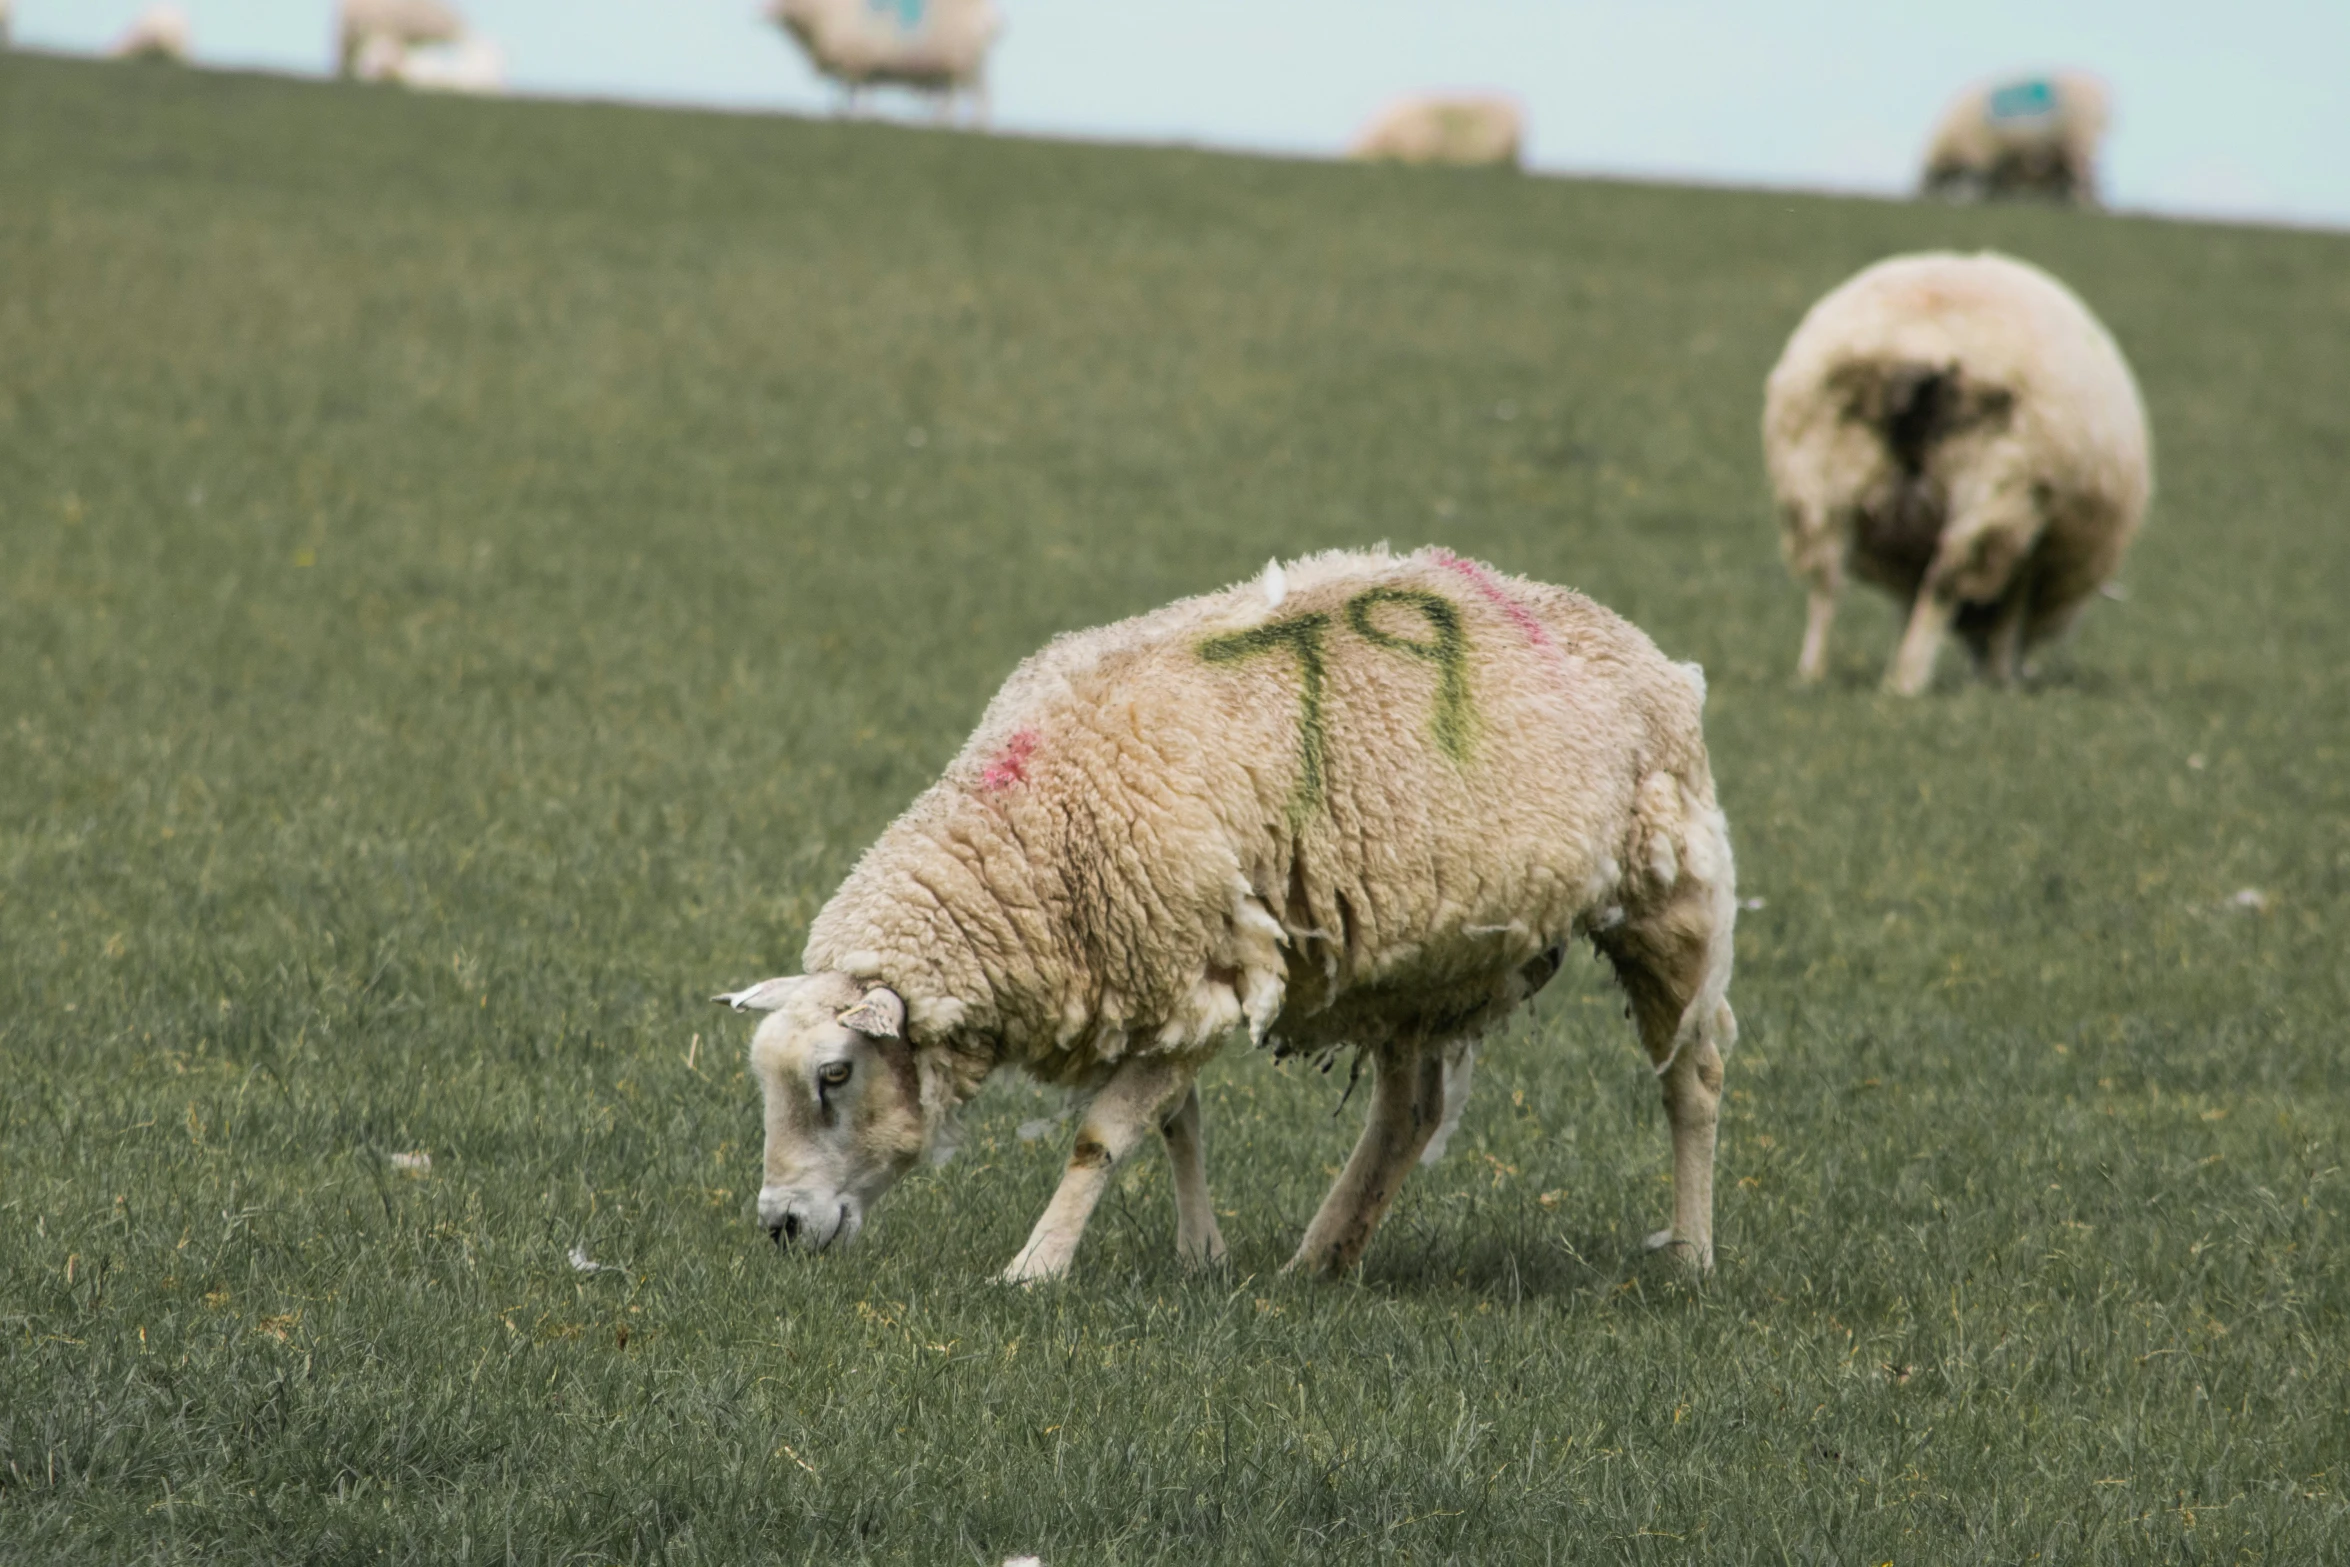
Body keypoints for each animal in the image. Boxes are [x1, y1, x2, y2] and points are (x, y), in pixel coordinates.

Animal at [705, 545, 1738, 1278]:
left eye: (835, 1074)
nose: (780, 1226)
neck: (1033, 829)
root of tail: (1628, 635)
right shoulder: (1153, 981)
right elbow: (1177, 1125)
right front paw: (1203, 1256)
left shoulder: (1200, 971)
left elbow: (1102, 1136)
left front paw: (1035, 1268)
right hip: (1415, 968)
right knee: (1410, 1112)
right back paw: (1320, 1257)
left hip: (1667, 895)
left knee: (1692, 1078)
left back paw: (1689, 1256)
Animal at [761, 0, 1001, 127]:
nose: (763, 13)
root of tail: (990, 16)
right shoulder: (854, 65)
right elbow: (849, 91)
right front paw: (843, 114)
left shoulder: (857, 61)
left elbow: (858, 92)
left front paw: (858, 116)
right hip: (959, 66)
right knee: (956, 96)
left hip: (965, 63)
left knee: (976, 95)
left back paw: (971, 125)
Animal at [1767, 254, 2152, 695]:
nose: (2014, 671)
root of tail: (1922, 347)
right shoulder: (2032, 537)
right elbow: (2009, 611)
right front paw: (2001, 678)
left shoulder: (1911, 543)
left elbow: (1911, 603)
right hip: (1997, 483)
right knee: (1945, 582)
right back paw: (1908, 681)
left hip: (1816, 472)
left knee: (1825, 583)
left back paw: (1812, 674)